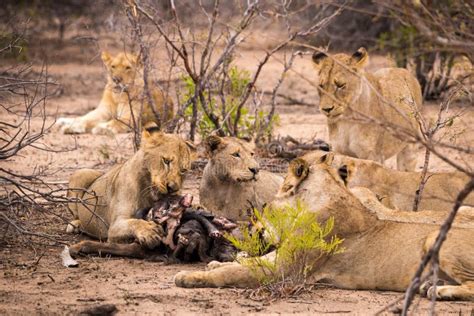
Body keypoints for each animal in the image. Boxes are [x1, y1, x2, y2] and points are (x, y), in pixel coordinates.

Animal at [65, 126, 193, 249]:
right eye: (166, 161)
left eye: (183, 170)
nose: (172, 188)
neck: (148, 193)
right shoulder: (114, 226)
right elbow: (134, 222)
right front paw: (149, 232)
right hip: (80, 173)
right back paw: (75, 225)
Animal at [175, 152, 474, 302]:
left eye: (267, 205)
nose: (252, 229)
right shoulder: (281, 257)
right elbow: (243, 262)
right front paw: (216, 264)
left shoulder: (286, 271)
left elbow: (232, 273)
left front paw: (189, 277)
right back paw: (432, 287)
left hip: (436, 237)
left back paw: (440, 291)